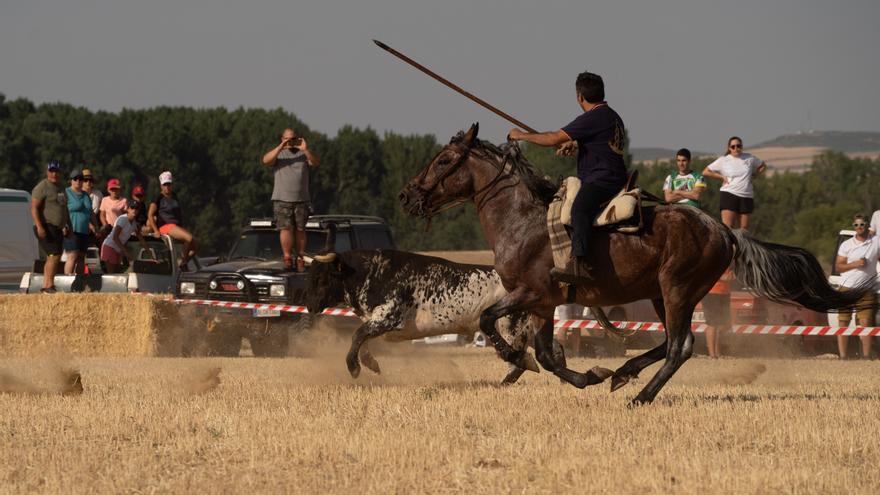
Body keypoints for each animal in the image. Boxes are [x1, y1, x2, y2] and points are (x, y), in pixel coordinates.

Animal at [304, 252, 552, 384]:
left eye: (321, 278)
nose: (309, 305)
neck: (371, 273)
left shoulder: (388, 318)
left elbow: (358, 334)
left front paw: (354, 367)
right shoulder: (379, 323)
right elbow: (362, 340)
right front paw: (370, 363)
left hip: (512, 326)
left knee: (519, 359)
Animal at [400, 123, 868, 404]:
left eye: (444, 161)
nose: (407, 195)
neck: (522, 220)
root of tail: (723, 230)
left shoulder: (530, 294)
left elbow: (490, 322)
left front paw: (517, 358)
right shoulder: (545, 304)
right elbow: (548, 355)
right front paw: (587, 374)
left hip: (677, 291)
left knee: (681, 346)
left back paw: (640, 396)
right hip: (664, 295)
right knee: (671, 341)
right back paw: (623, 373)